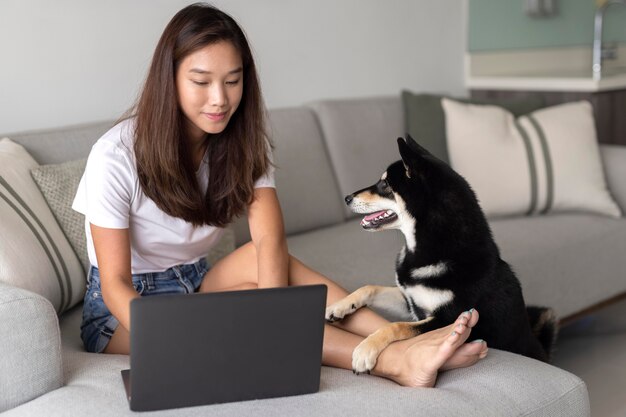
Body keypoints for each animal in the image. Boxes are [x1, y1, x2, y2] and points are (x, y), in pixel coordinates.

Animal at [326, 136, 556, 374]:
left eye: (386, 185)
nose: (347, 197)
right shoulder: (410, 300)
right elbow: (370, 288)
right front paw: (340, 306)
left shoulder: (448, 318)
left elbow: (396, 326)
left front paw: (365, 350)